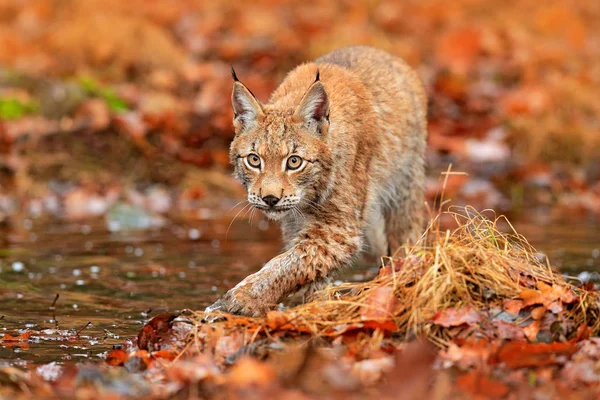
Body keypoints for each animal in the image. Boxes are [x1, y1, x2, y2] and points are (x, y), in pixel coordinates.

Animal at [206, 46, 426, 316]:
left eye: (294, 162)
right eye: (254, 160)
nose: (270, 199)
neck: (308, 199)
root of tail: (379, 52)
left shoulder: (340, 230)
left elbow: (289, 263)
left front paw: (242, 298)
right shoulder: (294, 224)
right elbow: (304, 266)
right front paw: (315, 304)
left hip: (405, 187)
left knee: (406, 237)